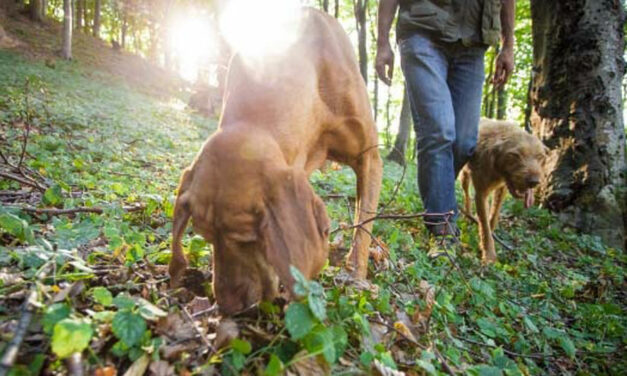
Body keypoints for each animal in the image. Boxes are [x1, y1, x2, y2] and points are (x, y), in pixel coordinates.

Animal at [167, 8, 382, 314]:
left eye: (247, 240)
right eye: (205, 237)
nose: (228, 306)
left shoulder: (370, 159)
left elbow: (363, 227)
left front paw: (355, 278)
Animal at [458, 119, 548, 262]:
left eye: (540, 157)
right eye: (515, 155)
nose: (534, 182)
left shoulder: (502, 189)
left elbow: (493, 217)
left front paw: (486, 238)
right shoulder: (481, 194)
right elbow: (484, 224)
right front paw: (489, 255)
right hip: (464, 177)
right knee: (466, 195)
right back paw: (467, 214)